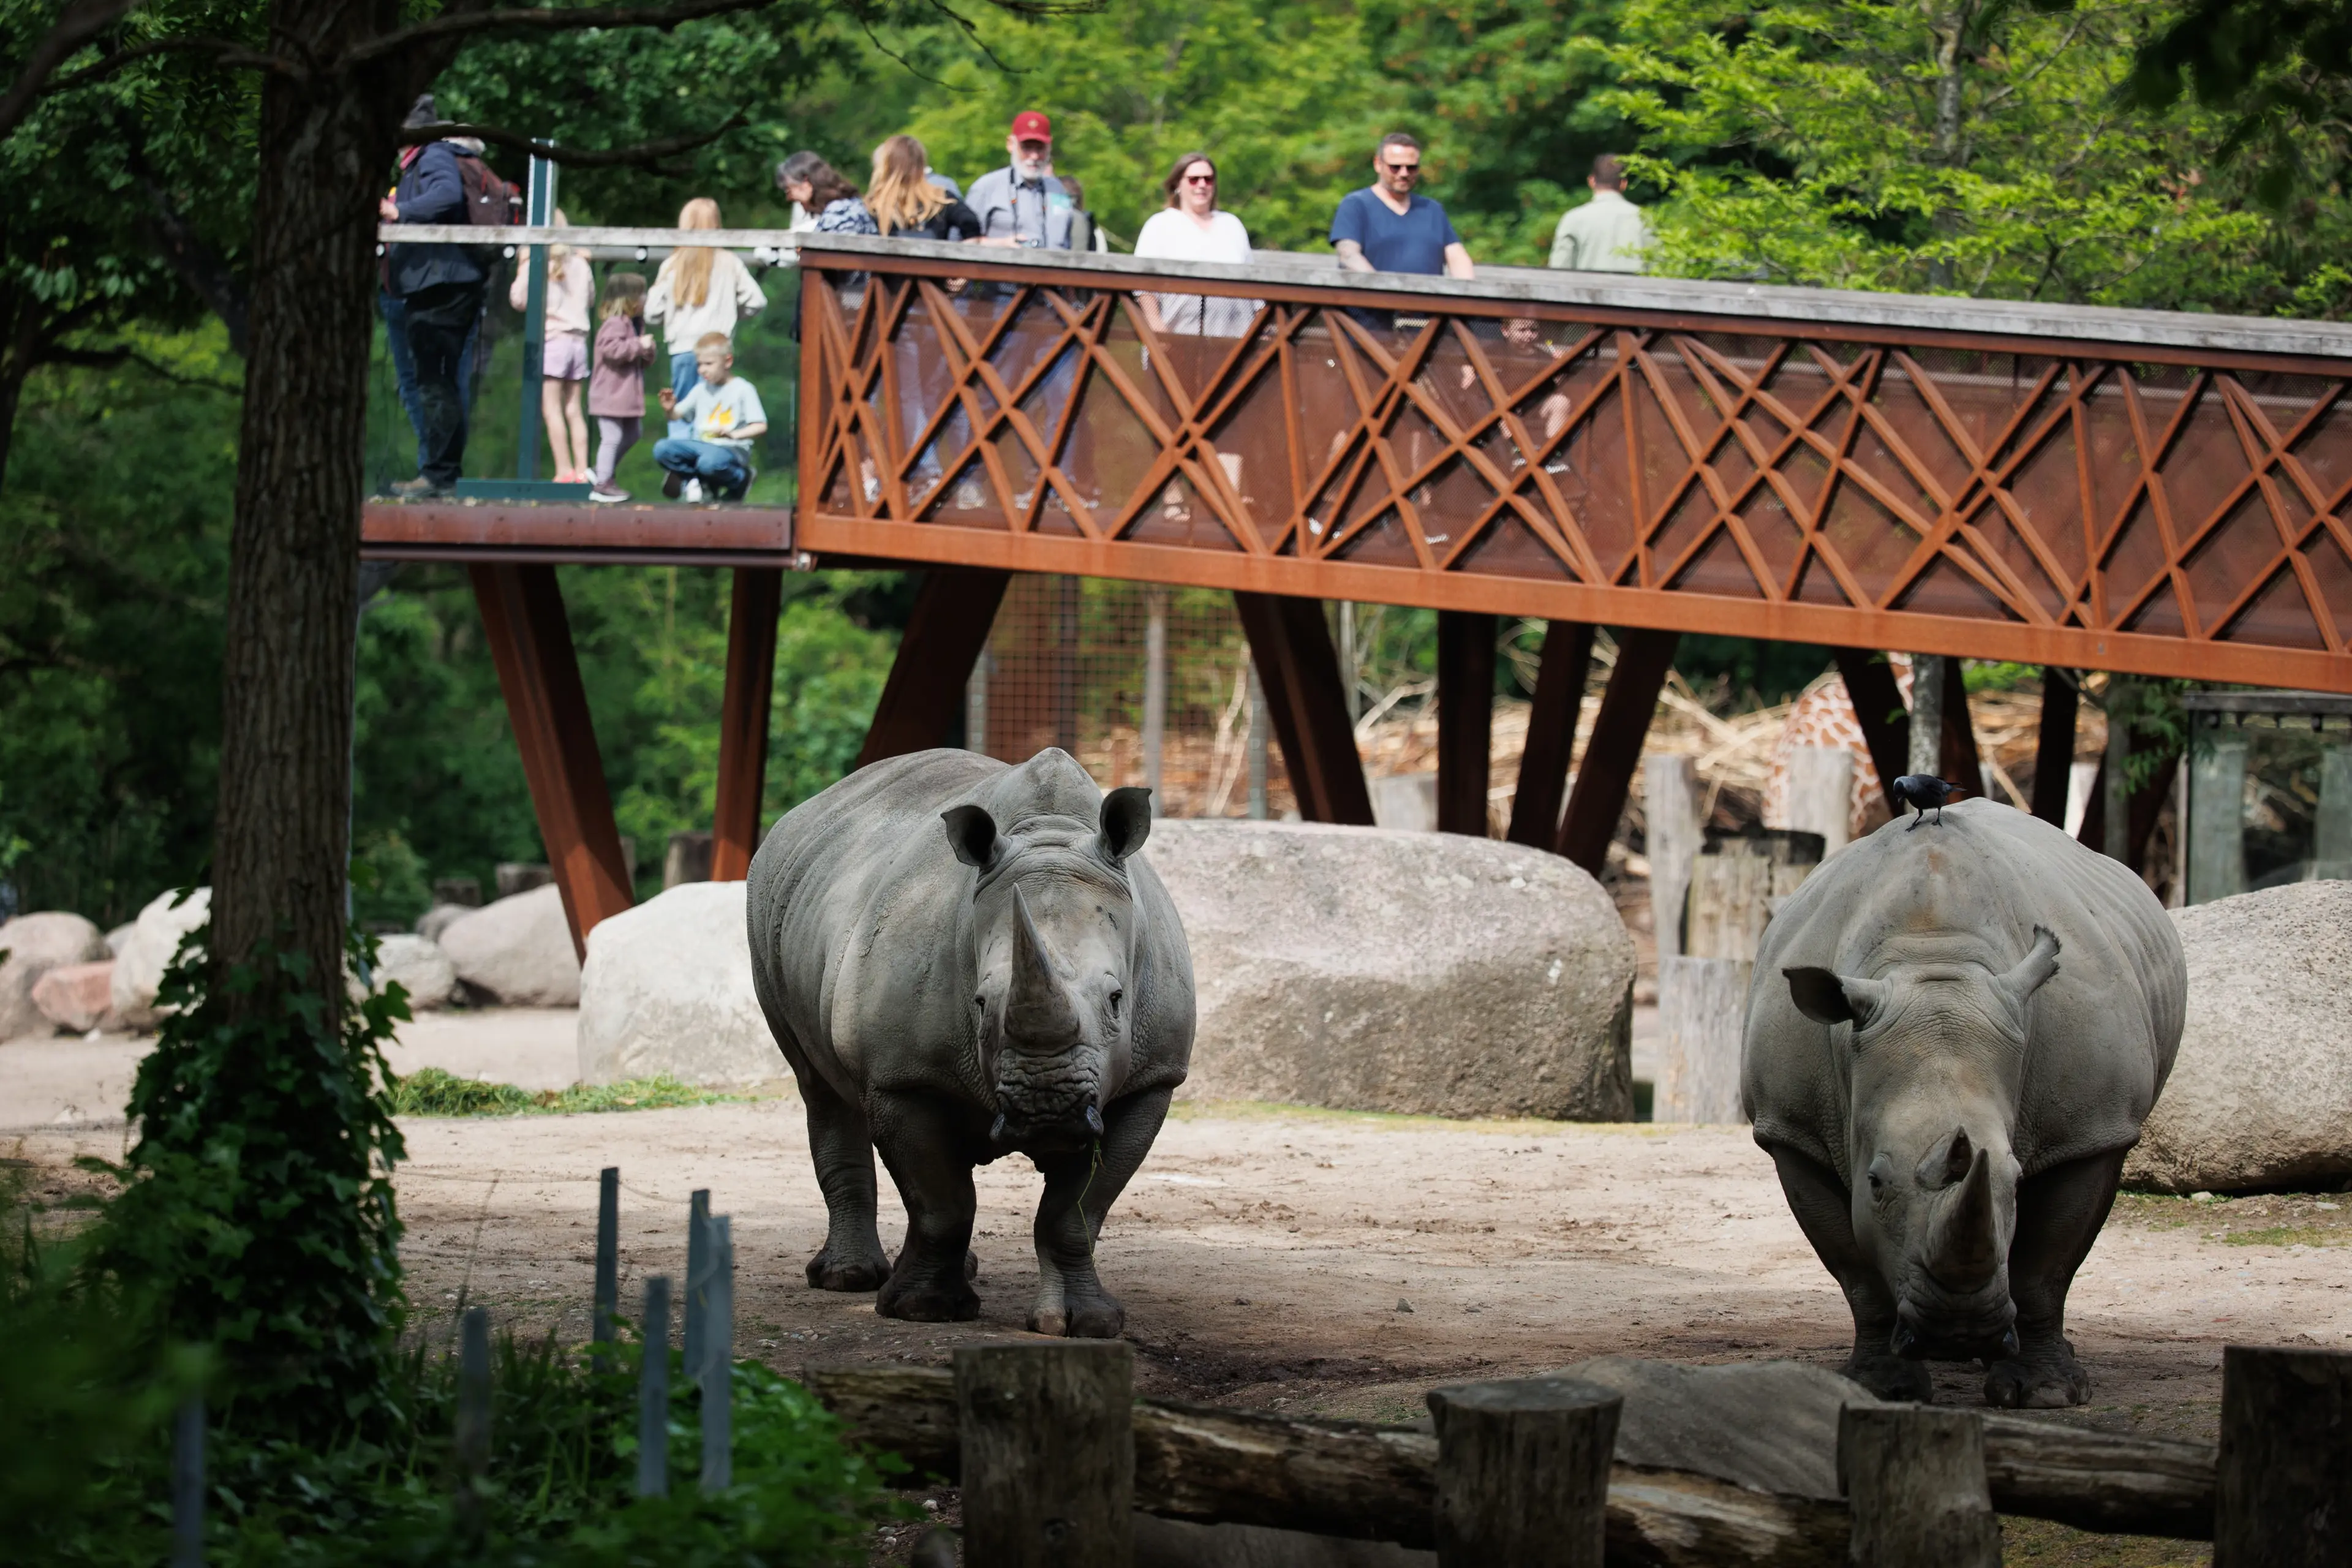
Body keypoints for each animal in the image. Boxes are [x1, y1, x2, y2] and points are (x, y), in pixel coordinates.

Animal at [747, 747, 1194, 1335]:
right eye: (980, 1004)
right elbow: (943, 1203)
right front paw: (923, 1311)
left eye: (1118, 1000)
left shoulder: (1152, 1077)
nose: (1047, 1108)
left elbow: (1076, 1213)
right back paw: (850, 1279)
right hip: (768, 901)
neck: (1049, 832)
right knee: (818, 1087)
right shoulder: (903, 1076)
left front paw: (1084, 1324)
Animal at [1743, 799, 2184, 1407]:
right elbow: (1856, 1274)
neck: (1934, 960)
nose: (1956, 1331)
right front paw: (1883, 1388)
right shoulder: (1793, 1130)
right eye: (1875, 1182)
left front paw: (2046, 1394)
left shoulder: (2091, 1130)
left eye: (2017, 1181)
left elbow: (2046, 1270)